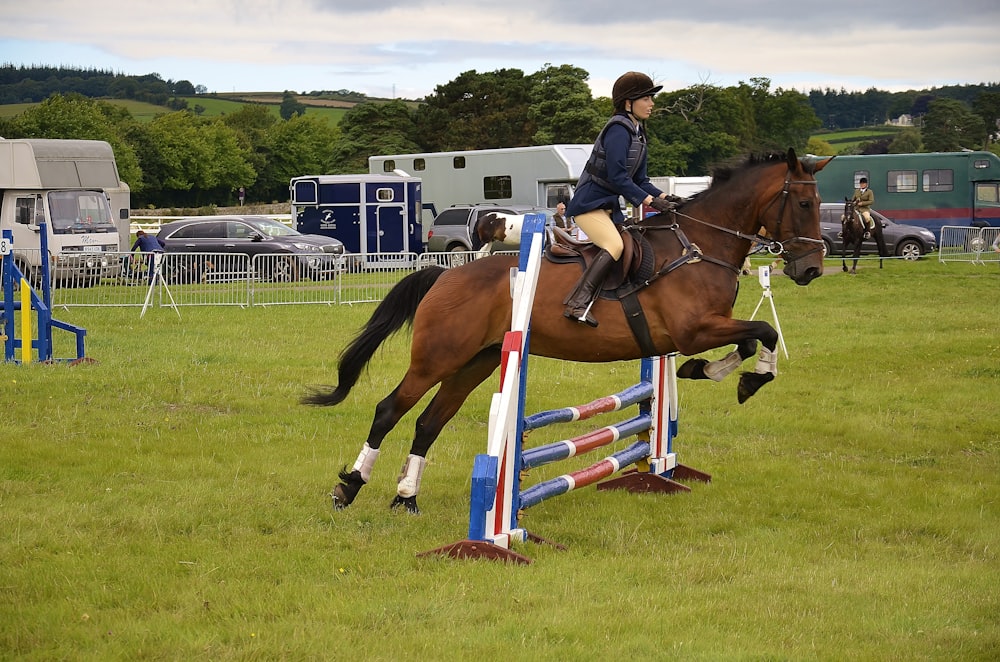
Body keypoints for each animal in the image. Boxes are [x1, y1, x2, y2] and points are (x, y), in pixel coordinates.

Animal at [302, 149, 828, 512]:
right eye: (803, 202)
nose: (811, 270)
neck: (699, 245)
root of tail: (446, 274)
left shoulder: (701, 331)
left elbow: (753, 335)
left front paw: (714, 373)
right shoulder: (693, 331)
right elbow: (762, 331)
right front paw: (743, 379)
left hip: (477, 361)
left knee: (430, 421)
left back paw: (406, 496)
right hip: (438, 357)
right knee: (390, 409)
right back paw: (350, 486)